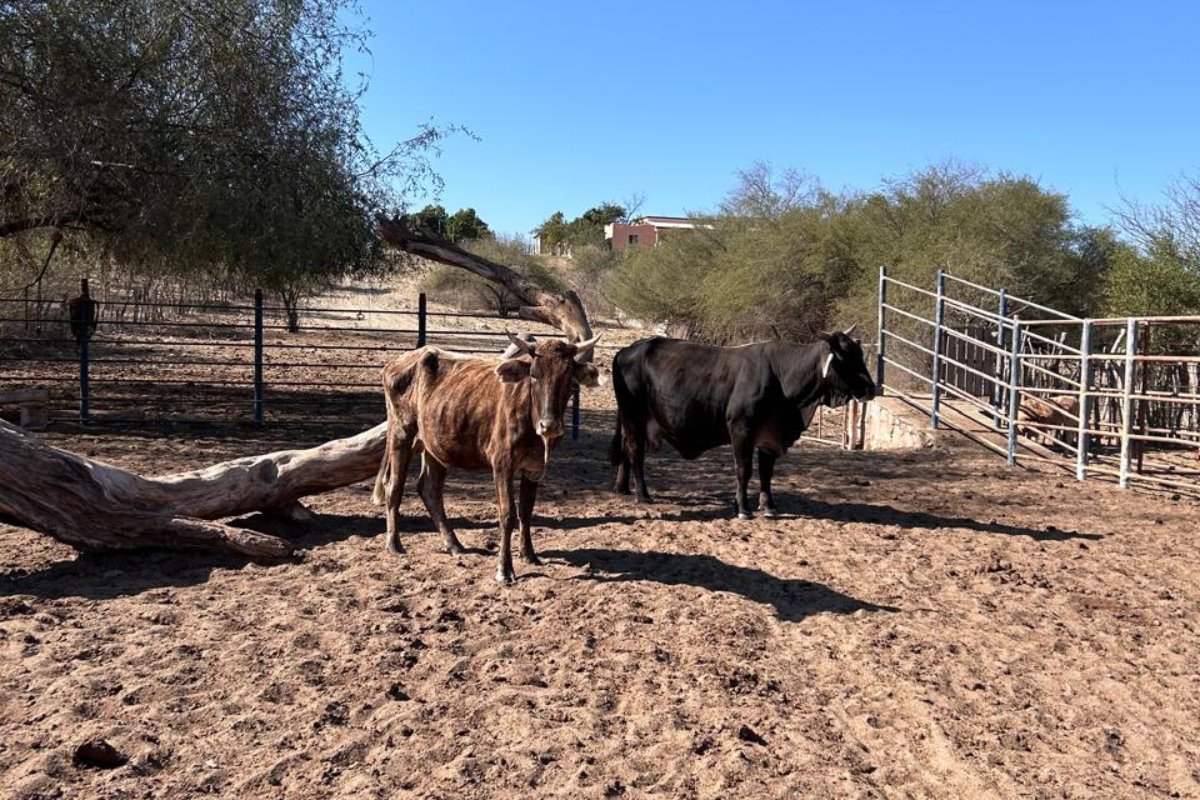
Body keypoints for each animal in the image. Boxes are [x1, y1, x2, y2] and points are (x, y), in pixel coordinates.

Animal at [372, 331, 597, 582]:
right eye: (534, 375)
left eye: (568, 378)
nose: (549, 426)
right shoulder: (502, 463)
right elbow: (507, 513)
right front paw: (504, 569)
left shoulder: (535, 467)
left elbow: (526, 510)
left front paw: (529, 555)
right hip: (401, 432)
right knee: (394, 486)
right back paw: (394, 544)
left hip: (435, 444)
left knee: (429, 489)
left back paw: (454, 544)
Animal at [614, 326, 878, 520]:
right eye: (846, 358)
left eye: (860, 354)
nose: (871, 388)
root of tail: (628, 349)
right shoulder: (741, 429)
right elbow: (744, 470)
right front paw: (742, 508)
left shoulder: (769, 436)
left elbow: (766, 473)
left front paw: (768, 506)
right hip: (634, 417)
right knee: (635, 451)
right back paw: (642, 494)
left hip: (632, 420)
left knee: (625, 448)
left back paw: (622, 487)